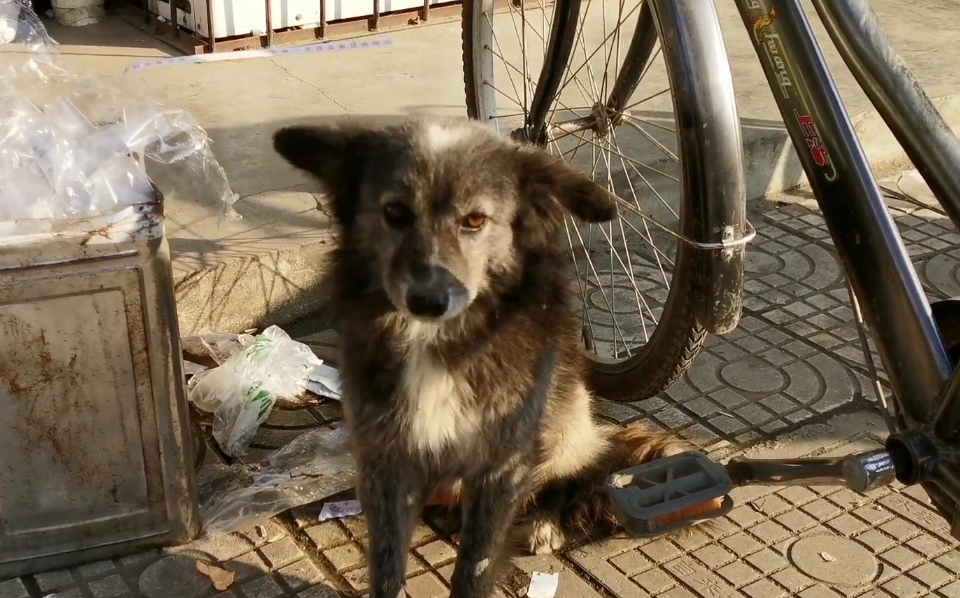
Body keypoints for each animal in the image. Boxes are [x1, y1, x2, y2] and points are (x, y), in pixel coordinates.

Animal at [274, 118, 716, 598]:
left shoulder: (501, 461)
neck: (438, 341)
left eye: (475, 220)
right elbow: (387, 564)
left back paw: (545, 523)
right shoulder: (383, 457)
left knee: (570, 478)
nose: (428, 301)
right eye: (395, 213)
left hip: (562, 424)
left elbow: (476, 565)